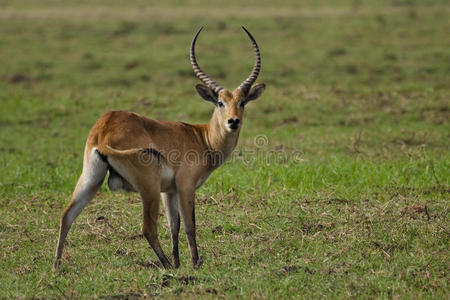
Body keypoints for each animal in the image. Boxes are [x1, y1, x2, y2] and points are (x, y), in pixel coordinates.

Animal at [53, 26, 266, 270]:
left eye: (242, 102)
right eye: (220, 102)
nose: (233, 121)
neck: (202, 138)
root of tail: (104, 128)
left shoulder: (169, 191)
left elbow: (174, 226)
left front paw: (179, 262)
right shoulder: (185, 186)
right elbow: (190, 225)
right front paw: (195, 263)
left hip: (91, 179)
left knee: (67, 215)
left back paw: (56, 266)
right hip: (149, 187)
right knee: (147, 228)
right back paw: (166, 265)